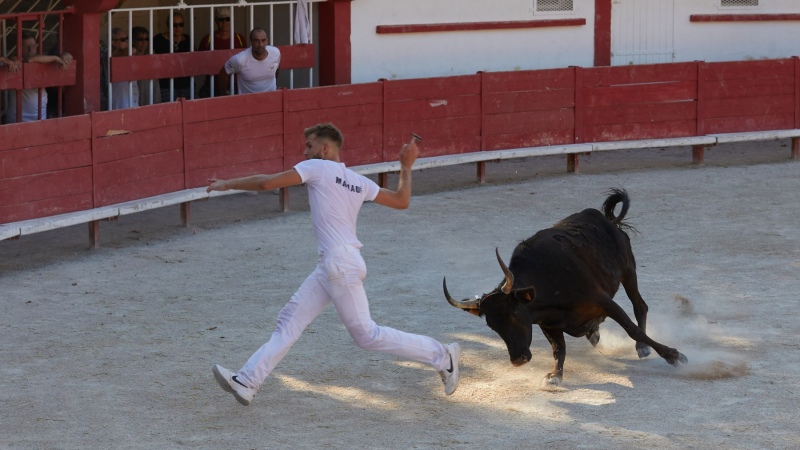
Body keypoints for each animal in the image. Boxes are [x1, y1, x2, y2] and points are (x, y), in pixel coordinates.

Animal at [444, 188, 688, 384]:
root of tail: (607, 220)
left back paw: (641, 347)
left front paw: (674, 355)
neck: (549, 286)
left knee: (640, 306)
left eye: (514, 313)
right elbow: (558, 349)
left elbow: (631, 328)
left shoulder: (603, 301)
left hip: (629, 270)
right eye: (492, 325)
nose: (518, 359)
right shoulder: (548, 323)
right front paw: (555, 375)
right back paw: (593, 332)